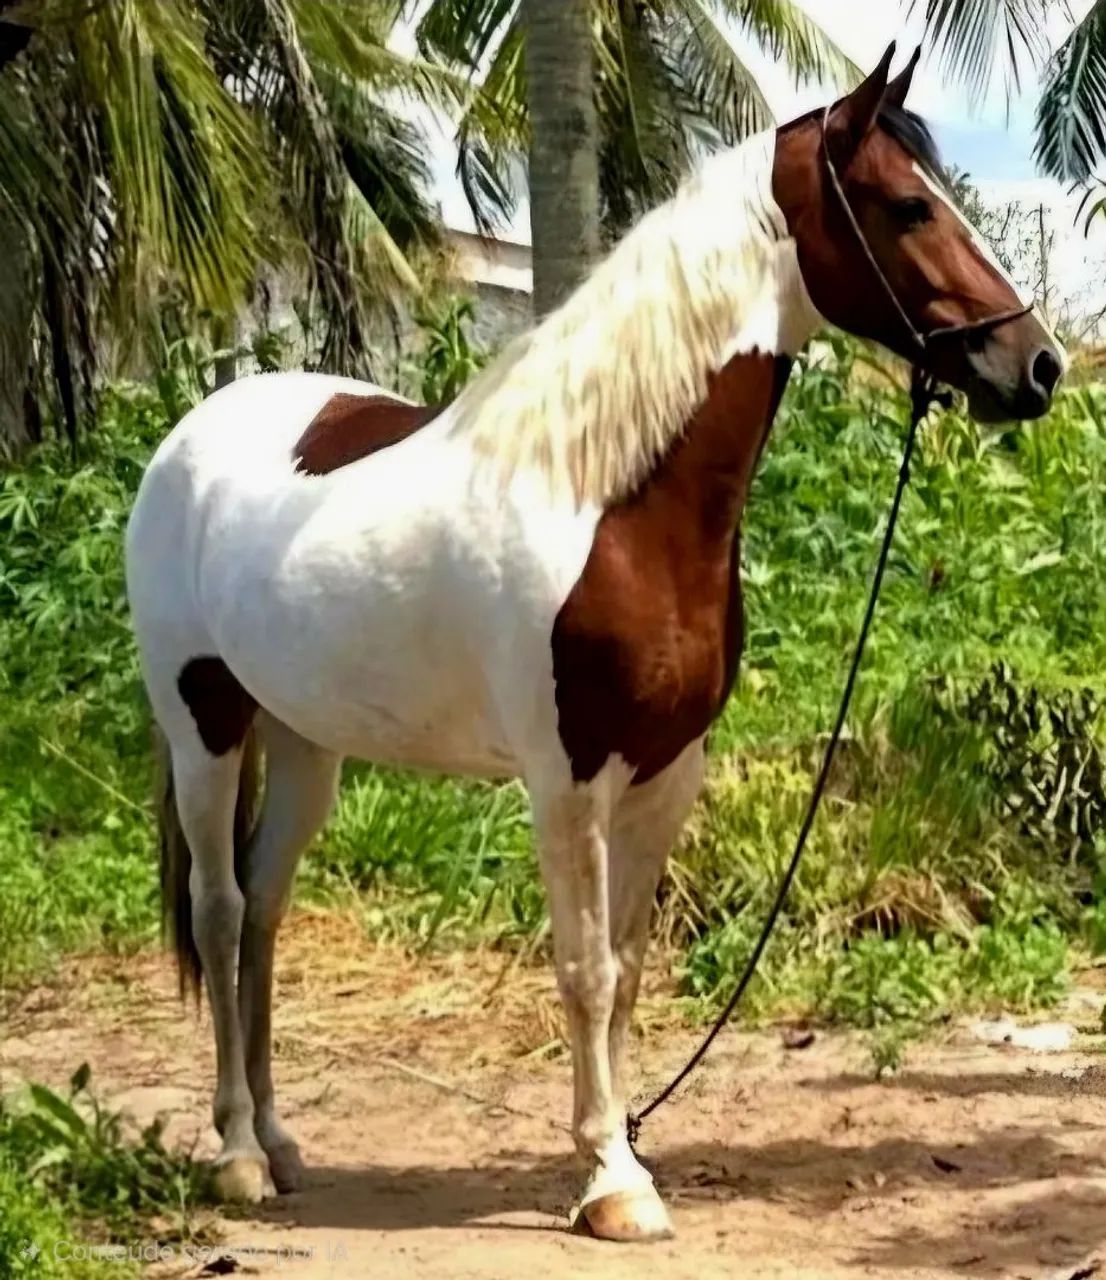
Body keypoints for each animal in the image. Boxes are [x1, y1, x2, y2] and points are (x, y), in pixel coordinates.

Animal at [125, 43, 1064, 1243]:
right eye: (908, 206)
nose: (1037, 367)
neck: (606, 499)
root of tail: (191, 436)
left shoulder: (667, 771)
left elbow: (625, 965)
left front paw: (620, 1147)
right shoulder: (565, 776)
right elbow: (582, 968)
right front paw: (613, 1181)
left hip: (303, 741)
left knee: (263, 917)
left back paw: (286, 1143)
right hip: (201, 717)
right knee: (220, 907)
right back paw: (239, 1152)